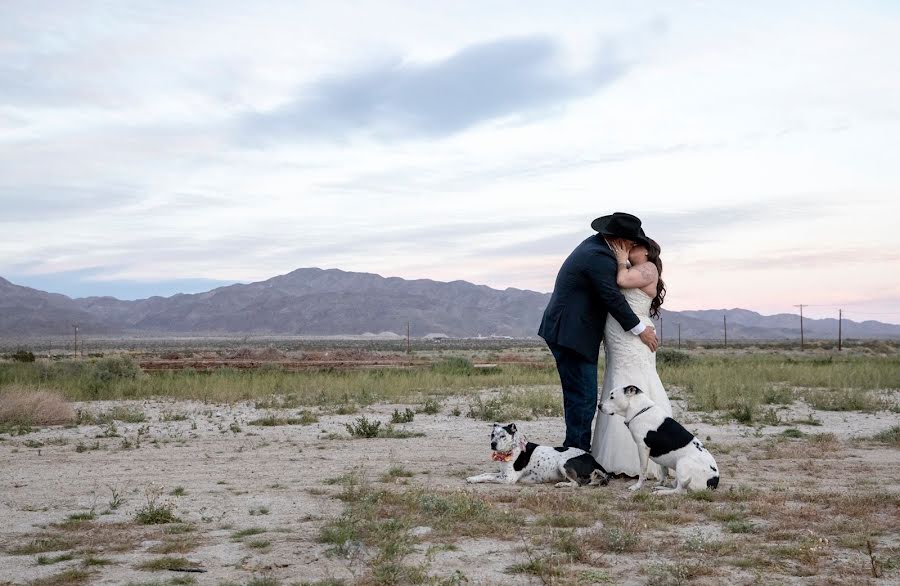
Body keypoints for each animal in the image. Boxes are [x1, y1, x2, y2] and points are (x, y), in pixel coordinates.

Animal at [464, 422, 612, 486]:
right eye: (492, 435)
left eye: (503, 436)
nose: (493, 444)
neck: (513, 448)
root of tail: (593, 460)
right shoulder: (502, 473)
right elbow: (485, 474)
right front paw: (472, 477)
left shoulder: (508, 478)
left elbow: (488, 477)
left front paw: (474, 480)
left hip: (563, 463)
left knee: (577, 484)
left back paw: (561, 484)